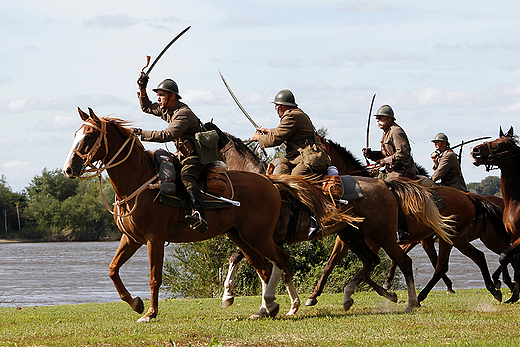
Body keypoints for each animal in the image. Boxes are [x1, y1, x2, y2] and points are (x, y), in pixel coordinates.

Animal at [62, 107, 346, 322]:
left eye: (88, 136)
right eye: (76, 134)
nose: (68, 169)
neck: (140, 181)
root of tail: (270, 182)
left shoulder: (154, 239)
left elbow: (155, 277)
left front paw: (150, 313)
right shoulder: (131, 239)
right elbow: (113, 270)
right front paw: (136, 304)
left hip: (258, 237)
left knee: (280, 260)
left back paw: (288, 304)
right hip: (241, 237)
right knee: (265, 268)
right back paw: (267, 308)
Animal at [474, 127, 520, 302]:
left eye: (500, 144)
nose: (475, 150)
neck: (515, 202)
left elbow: (504, 257)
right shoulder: (513, 238)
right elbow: (508, 258)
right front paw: (513, 291)